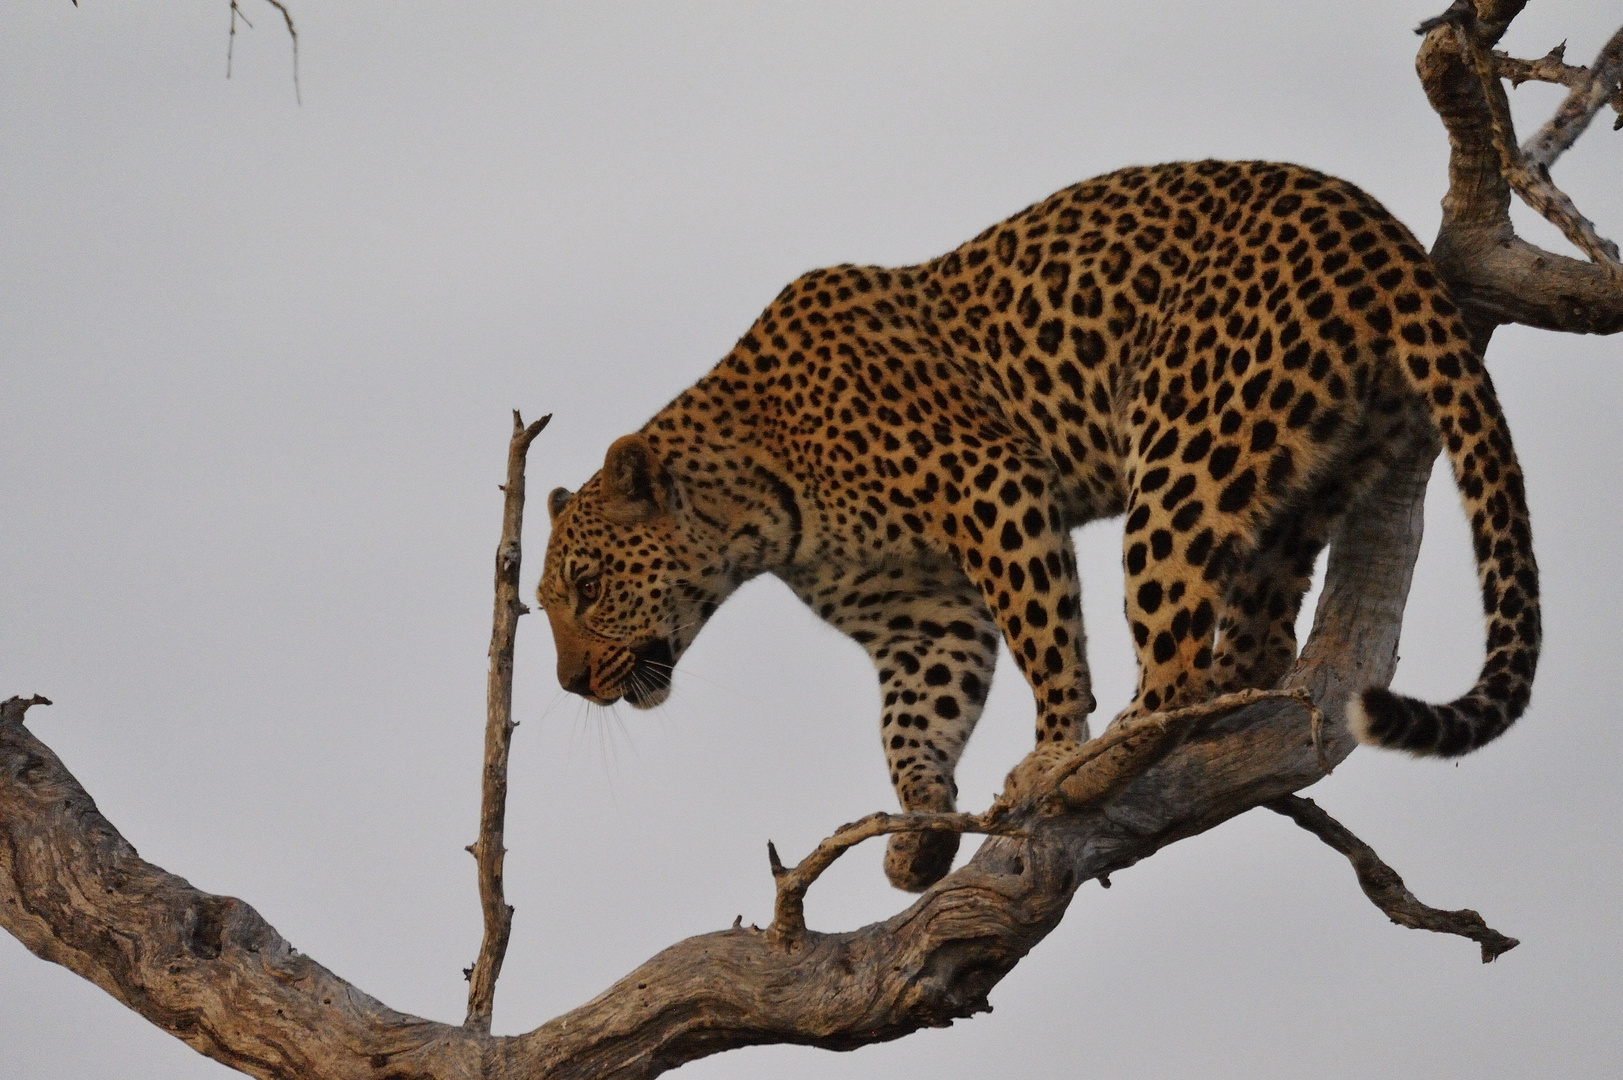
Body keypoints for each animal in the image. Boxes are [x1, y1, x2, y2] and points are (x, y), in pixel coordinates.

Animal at [538, 158, 1538, 883]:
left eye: (586, 587)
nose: (570, 684)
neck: (754, 503)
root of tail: (1378, 232)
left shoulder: (992, 485)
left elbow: (1048, 646)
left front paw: (1053, 748)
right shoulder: (917, 615)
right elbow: (913, 720)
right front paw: (919, 834)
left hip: (1182, 451)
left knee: (1171, 656)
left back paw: (1088, 766)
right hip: (1308, 474)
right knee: (1257, 641)